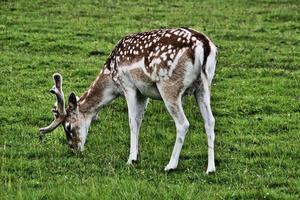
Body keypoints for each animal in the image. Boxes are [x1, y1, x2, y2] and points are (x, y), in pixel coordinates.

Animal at [40, 27, 218, 173]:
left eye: (68, 127)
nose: (74, 148)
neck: (111, 79)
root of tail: (204, 46)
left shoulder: (128, 86)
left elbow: (133, 121)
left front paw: (131, 159)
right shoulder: (143, 93)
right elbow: (139, 120)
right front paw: (135, 155)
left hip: (169, 86)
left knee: (183, 123)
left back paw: (170, 165)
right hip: (203, 86)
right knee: (210, 121)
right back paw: (210, 168)